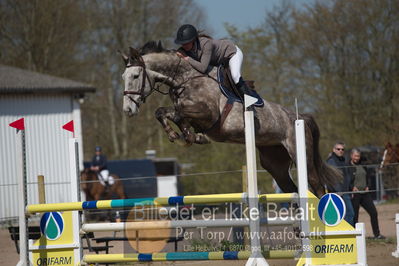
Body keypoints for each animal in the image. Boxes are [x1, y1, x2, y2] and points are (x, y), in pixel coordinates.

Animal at [120, 41, 342, 197]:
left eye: (136, 75)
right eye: (124, 76)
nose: (127, 110)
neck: (185, 78)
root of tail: (299, 116)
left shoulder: (208, 115)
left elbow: (178, 113)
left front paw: (186, 135)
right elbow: (164, 112)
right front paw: (182, 135)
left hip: (300, 153)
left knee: (316, 185)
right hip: (274, 163)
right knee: (292, 189)